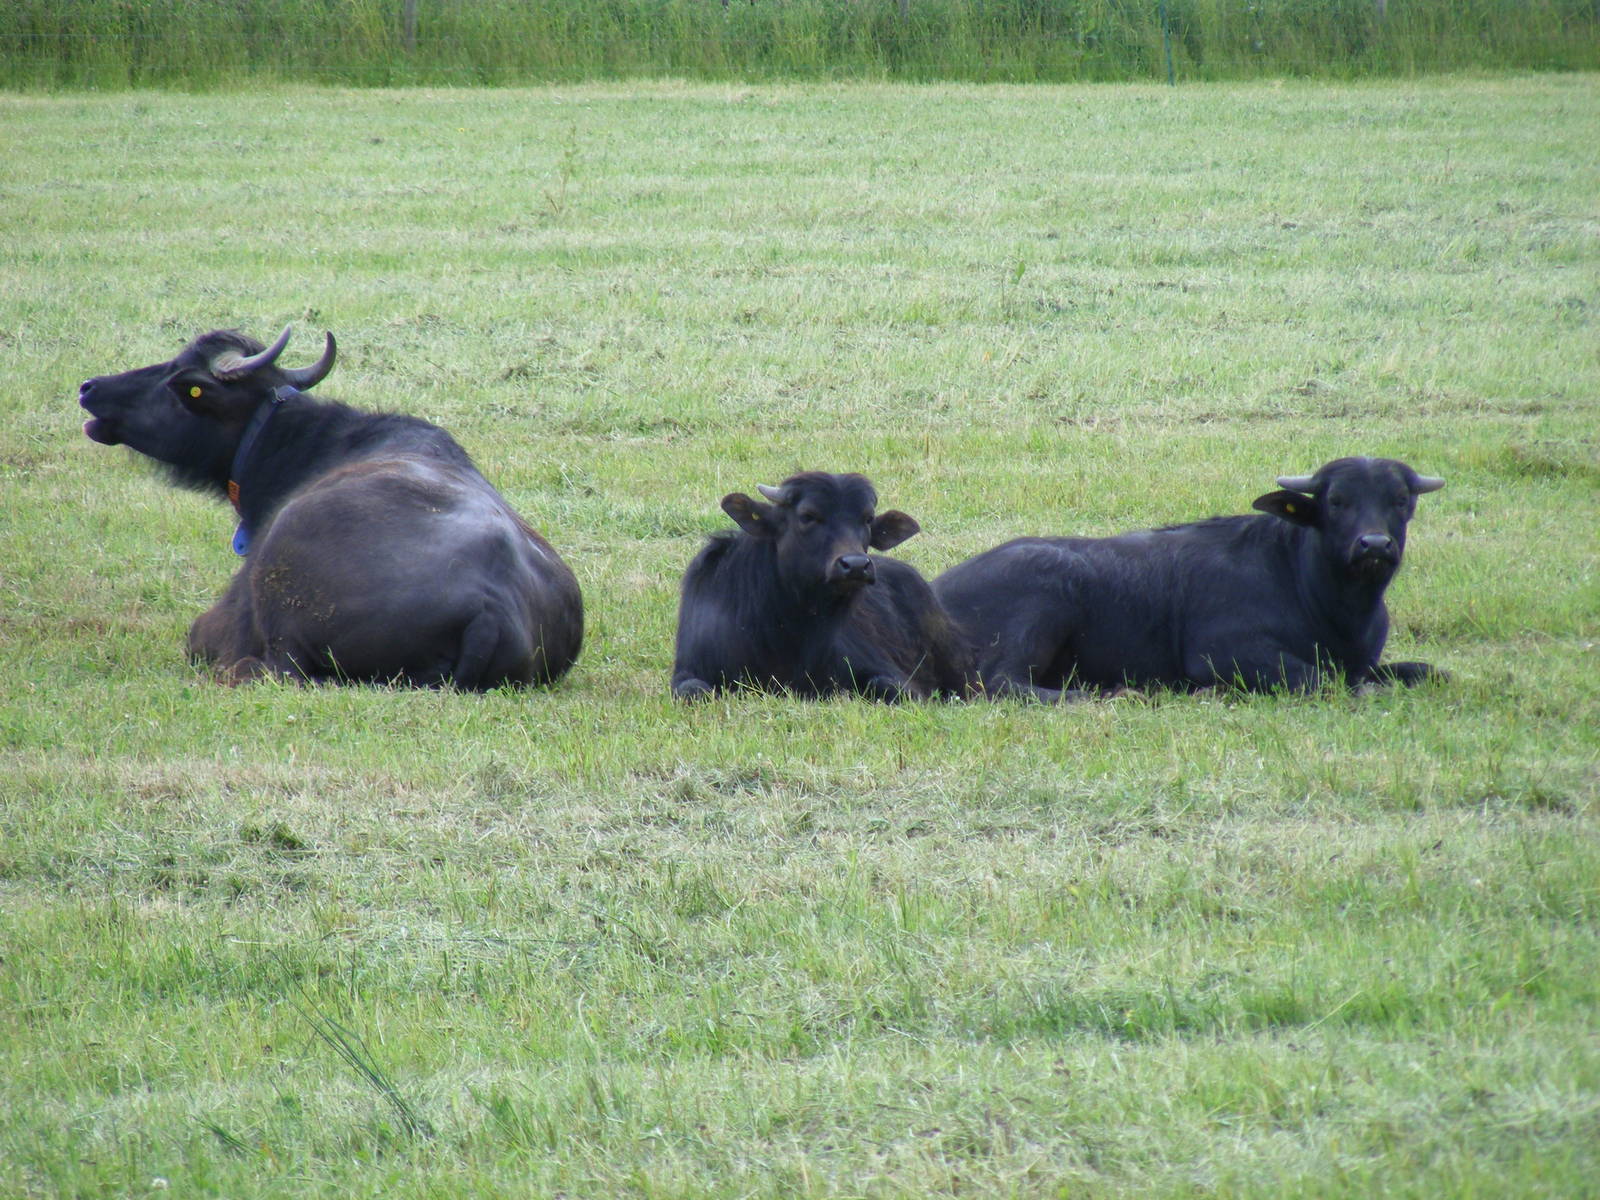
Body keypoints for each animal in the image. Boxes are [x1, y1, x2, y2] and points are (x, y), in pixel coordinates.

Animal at [671, 472, 972, 701]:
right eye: (807, 516)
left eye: (867, 518)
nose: (856, 565)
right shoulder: (688, 669)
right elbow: (693, 691)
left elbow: (889, 687)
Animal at [934, 456, 1445, 697]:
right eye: (1336, 501)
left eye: (1401, 500)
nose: (1374, 545)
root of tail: (939, 587)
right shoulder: (1221, 654)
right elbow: (1324, 680)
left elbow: (1430, 672)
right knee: (999, 684)